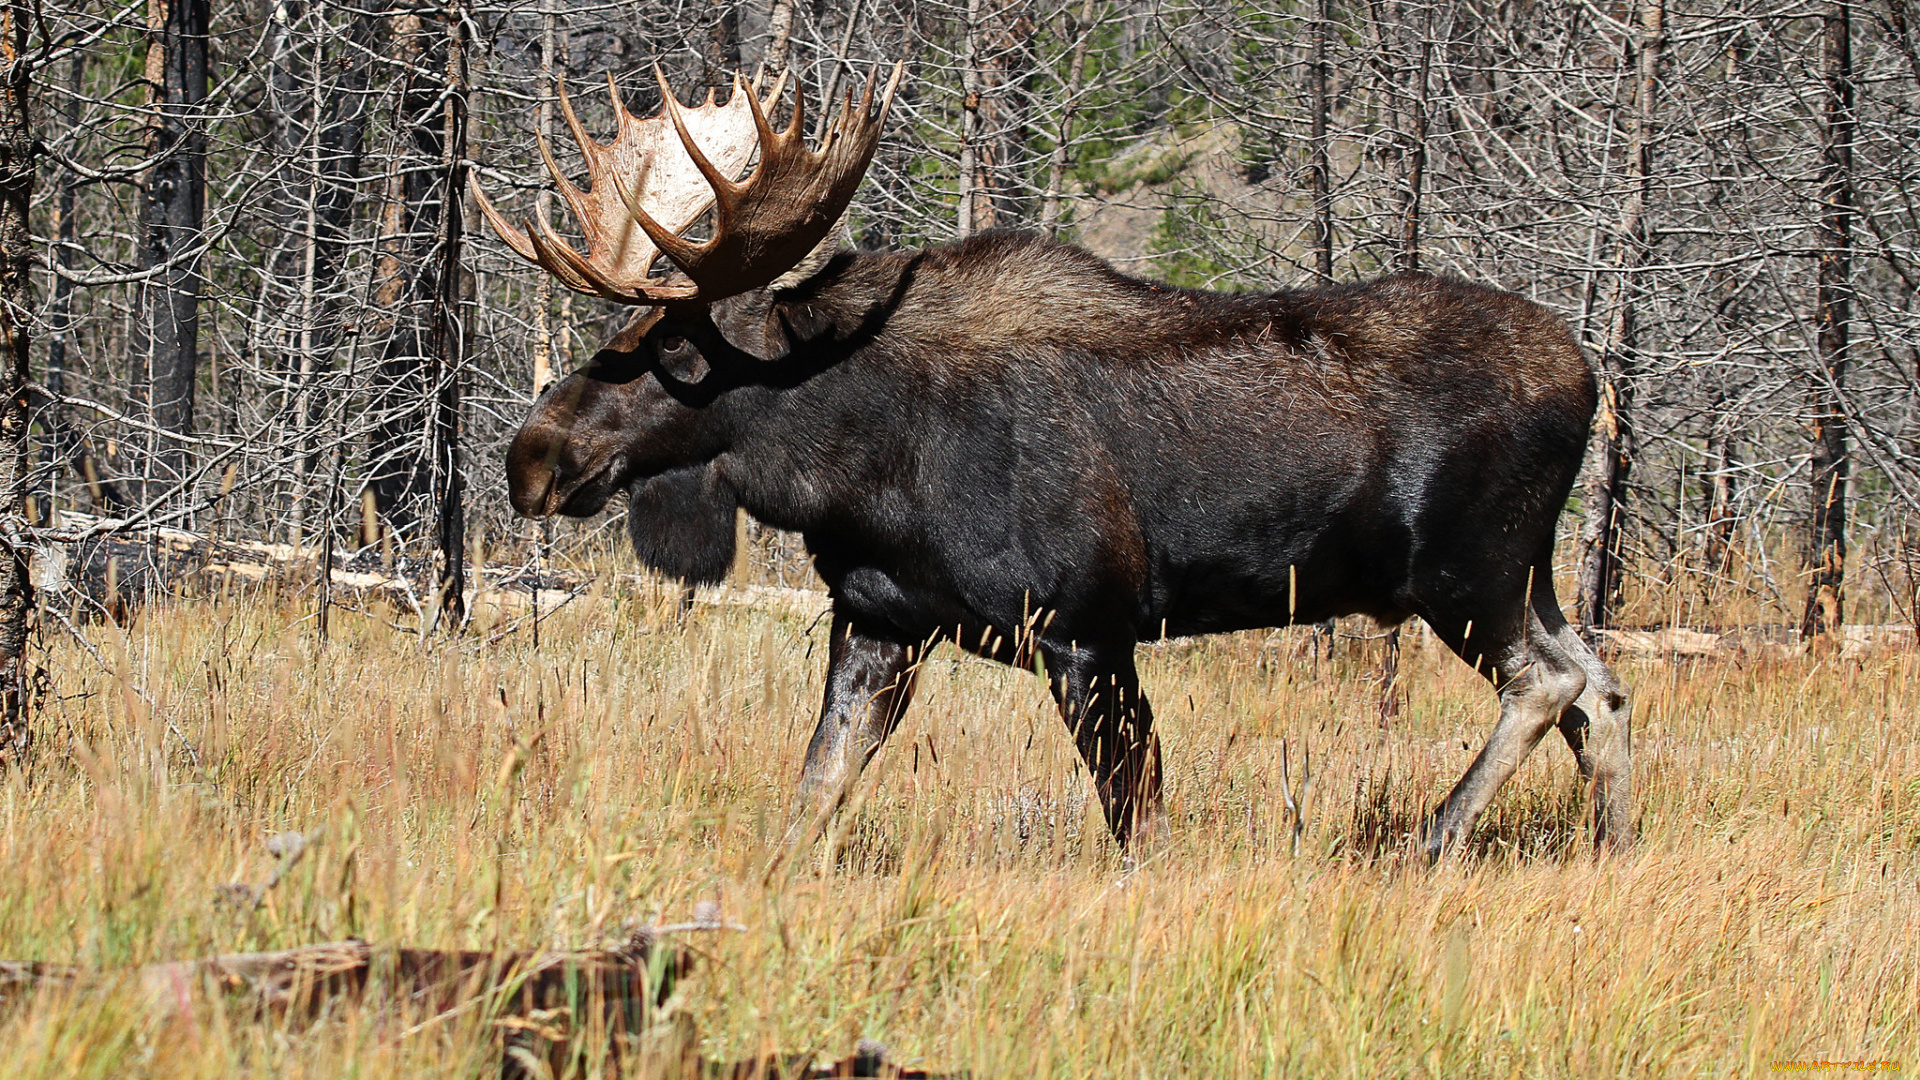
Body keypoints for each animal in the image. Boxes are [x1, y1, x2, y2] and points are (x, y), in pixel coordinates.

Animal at [480, 67, 1635, 857]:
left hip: (1465, 569)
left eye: (674, 351)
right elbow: (813, 794)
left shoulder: (1087, 630)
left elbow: (1139, 825)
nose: (529, 458)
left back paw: (1430, 837)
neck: (859, 468)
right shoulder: (881, 623)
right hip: (1523, 573)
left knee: (1550, 683)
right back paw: (1610, 846)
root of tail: (1592, 381)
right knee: (1603, 687)